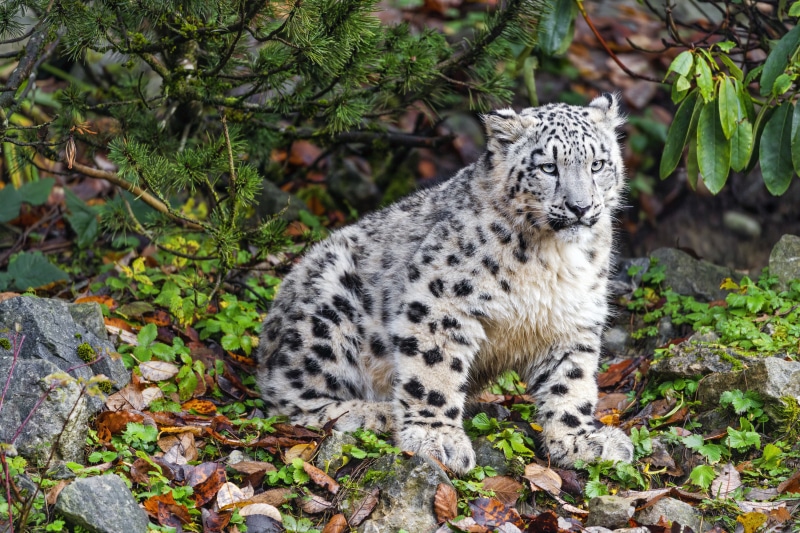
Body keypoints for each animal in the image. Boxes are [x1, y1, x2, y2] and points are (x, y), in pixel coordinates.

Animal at [255, 93, 635, 474]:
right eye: (548, 168)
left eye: (598, 164)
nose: (580, 207)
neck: (555, 260)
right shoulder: (443, 301)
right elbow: (434, 370)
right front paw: (437, 439)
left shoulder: (572, 320)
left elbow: (570, 380)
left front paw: (579, 440)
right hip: (327, 312)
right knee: (287, 398)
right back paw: (377, 413)